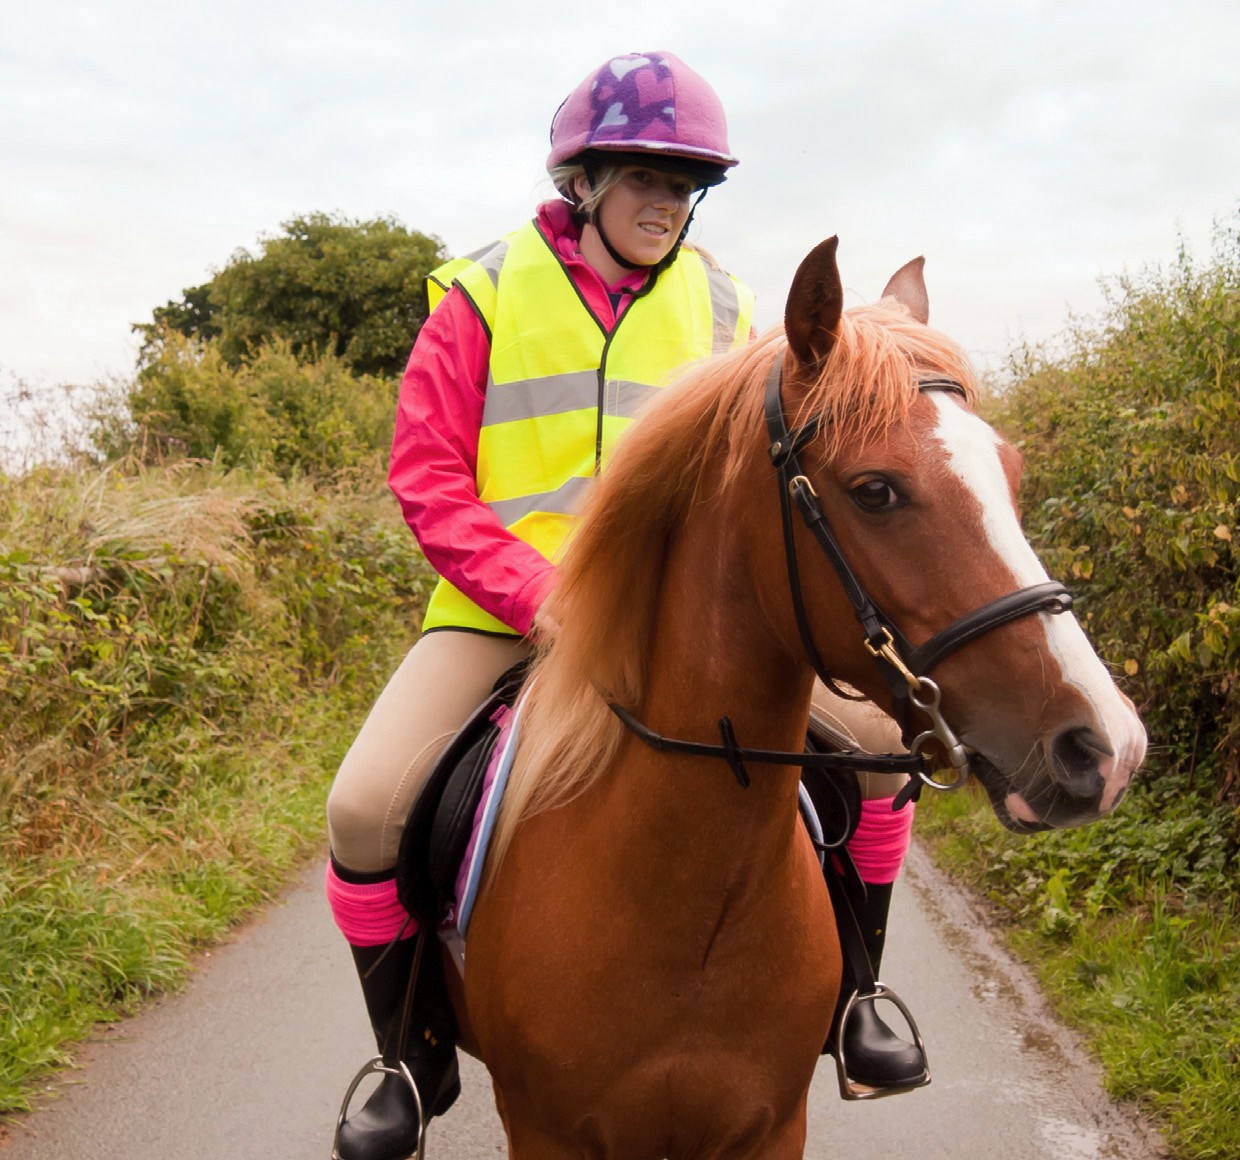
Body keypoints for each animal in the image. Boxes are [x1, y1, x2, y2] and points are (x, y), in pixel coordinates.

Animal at [443, 238, 1140, 1160]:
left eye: (1012, 473)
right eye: (876, 490)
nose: (1106, 747)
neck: (689, 905)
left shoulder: (769, 1126)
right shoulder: (548, 1133)